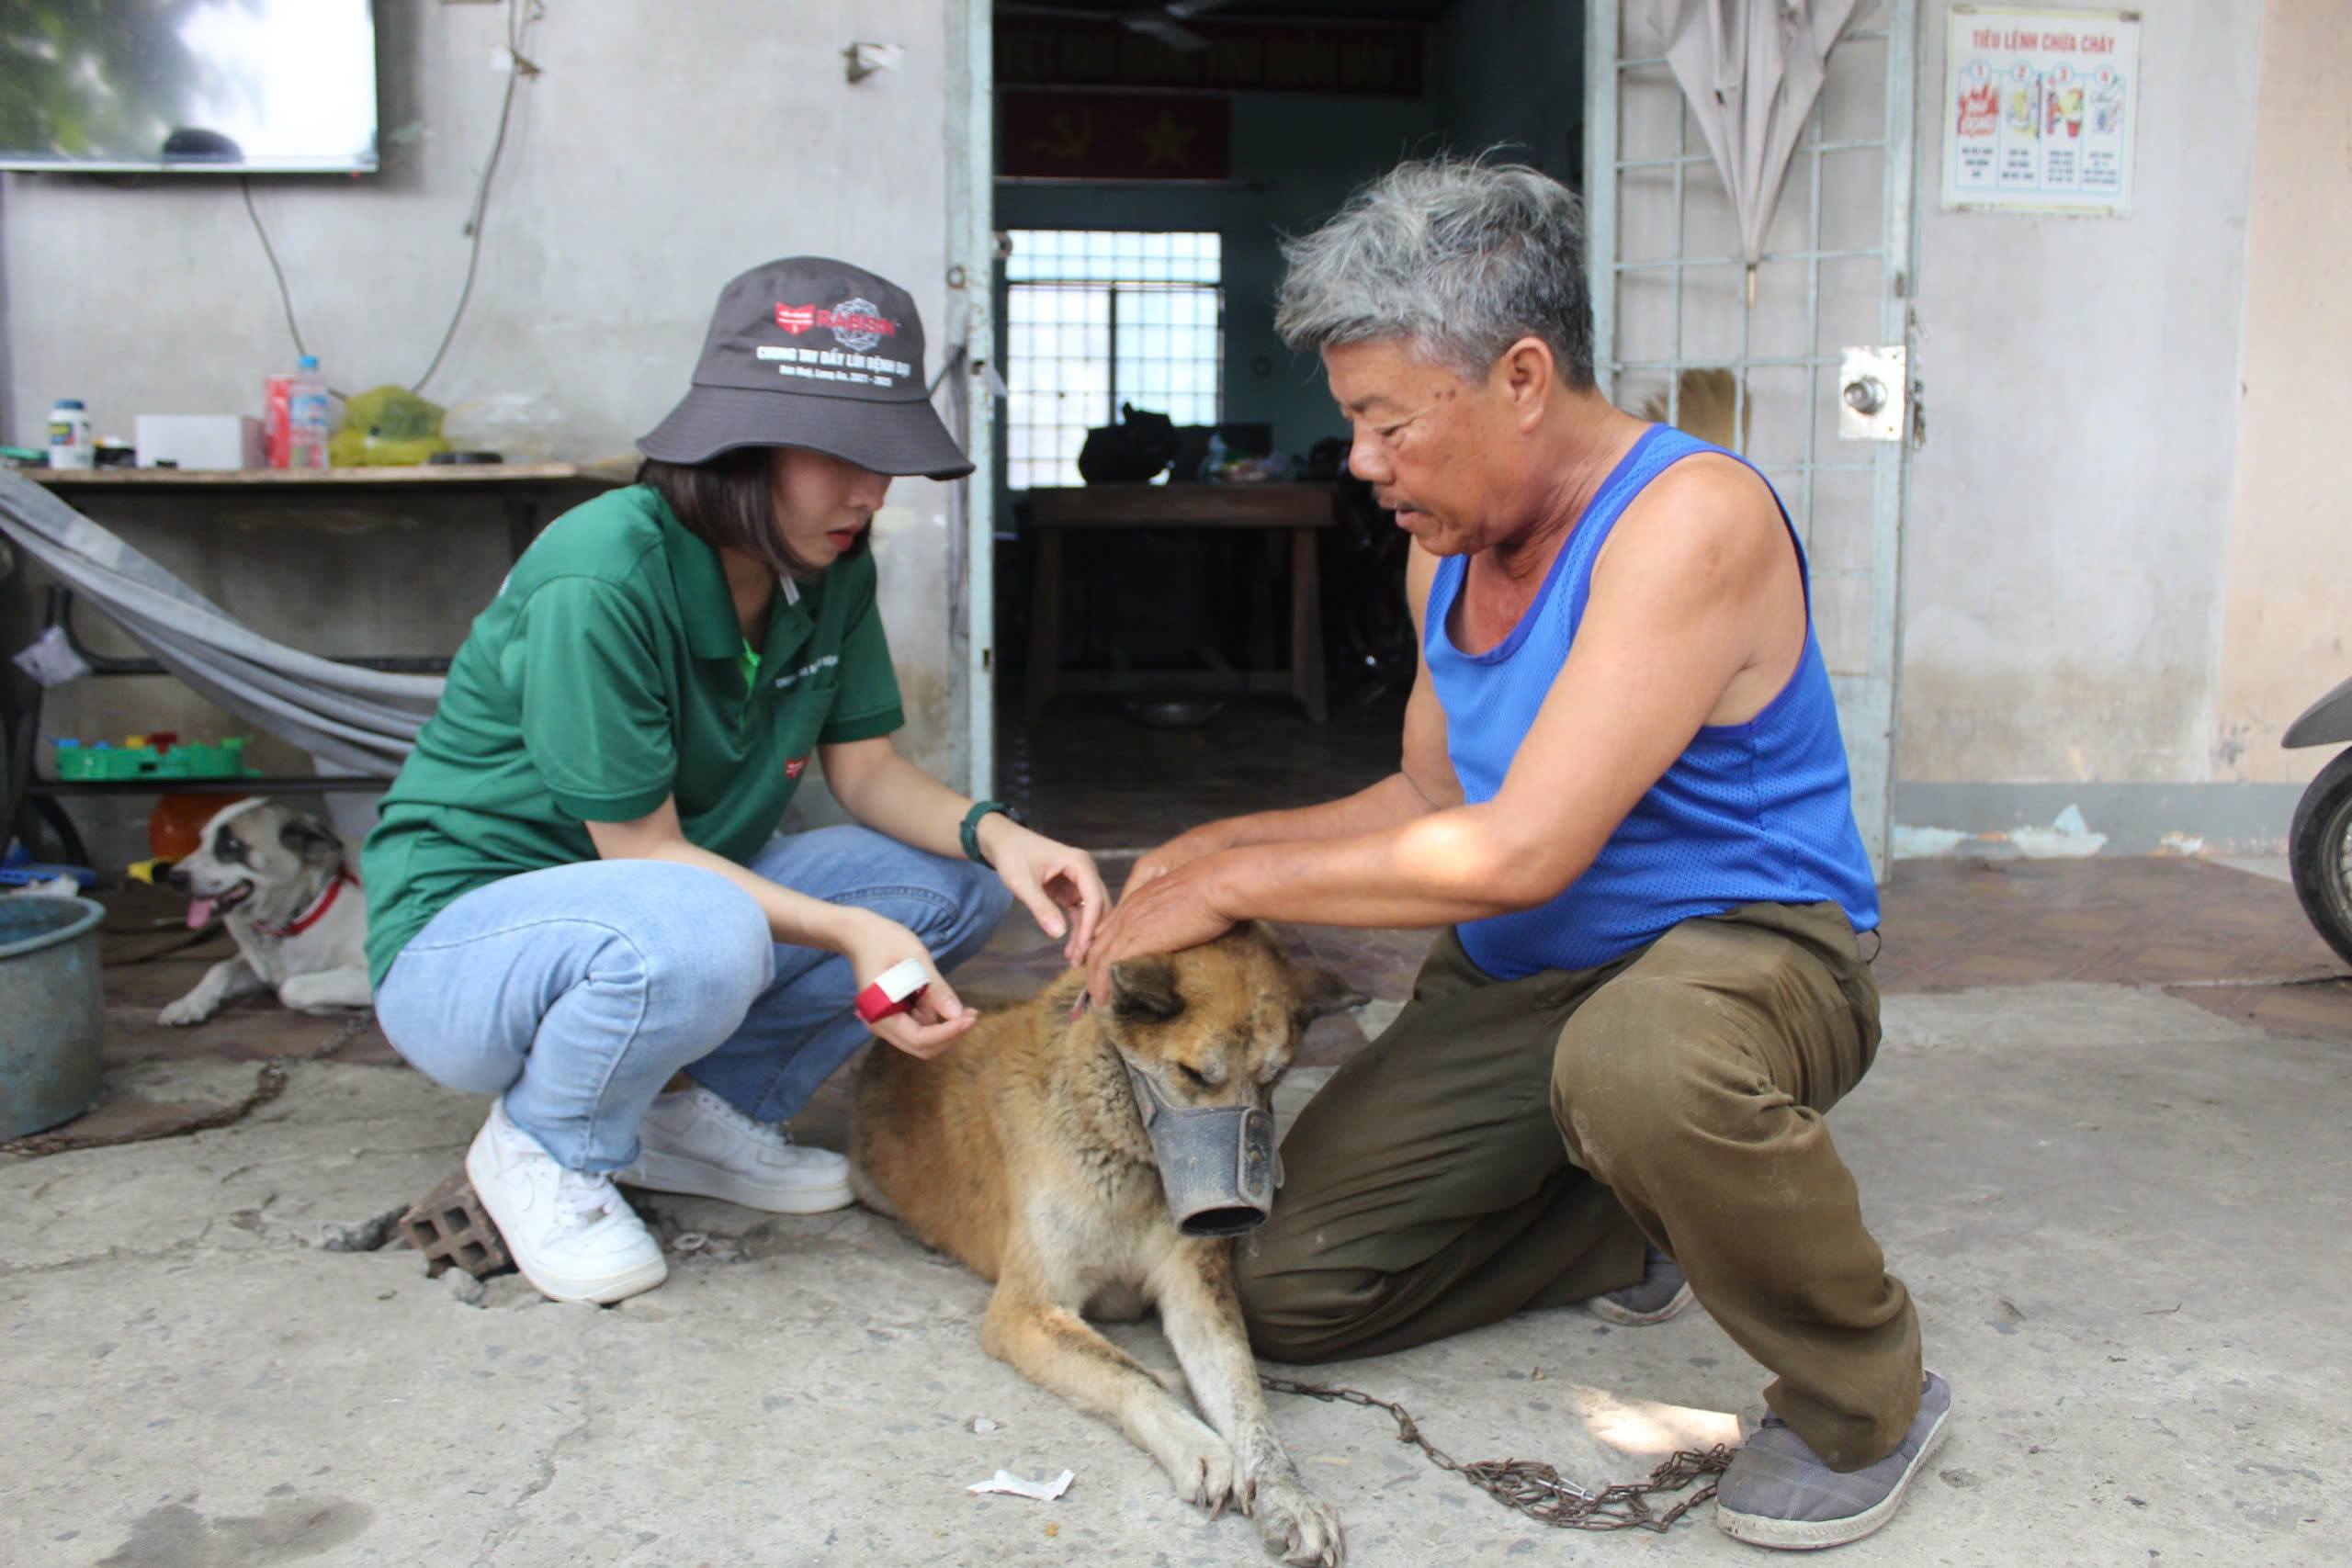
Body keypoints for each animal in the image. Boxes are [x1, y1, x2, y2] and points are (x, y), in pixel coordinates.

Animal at [159, 798, 372, 1026]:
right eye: (202, 840)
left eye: (232, 844)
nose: (173, 877)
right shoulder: (259, 969)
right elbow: (220, 968)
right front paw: (188, 1004)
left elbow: (290, 987)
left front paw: (326, 1007)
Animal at [850, 925, 1361, 1567]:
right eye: (1195, 1074)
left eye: (1273, 1078)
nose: (1234, 1211)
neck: (1128, 1151)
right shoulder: (1024, 1310)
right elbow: (1131, 1372)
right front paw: (1199, 1444)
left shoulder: (1196, 1291)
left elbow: (1247, 1400)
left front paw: (1287, 1493)